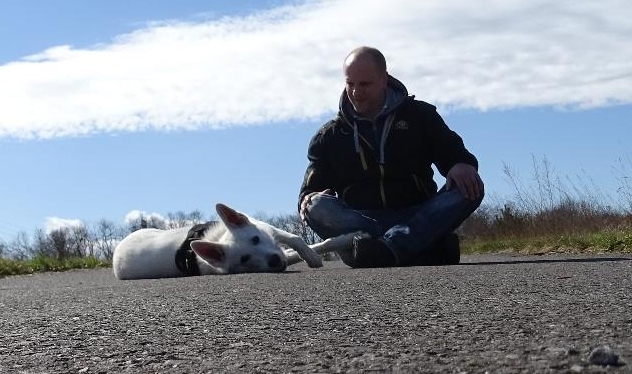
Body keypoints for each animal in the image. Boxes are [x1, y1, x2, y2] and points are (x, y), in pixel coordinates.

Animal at [113, 203, 360, 280]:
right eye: (244, 259)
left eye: (256, 239)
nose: (273, 261)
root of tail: (116, 252)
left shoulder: (268, 230)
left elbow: (298, 239)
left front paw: (343, 240)